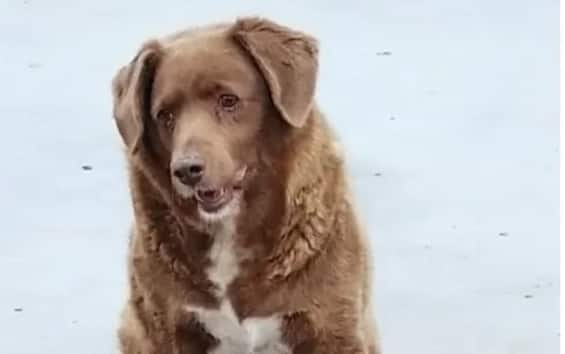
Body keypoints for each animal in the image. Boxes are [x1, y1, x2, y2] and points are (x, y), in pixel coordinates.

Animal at [110, 16, 378, 354]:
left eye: (228, 101)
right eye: (165, 115)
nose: (186, 170)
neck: (230, 231)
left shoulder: (330, 325)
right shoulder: (168, 326)